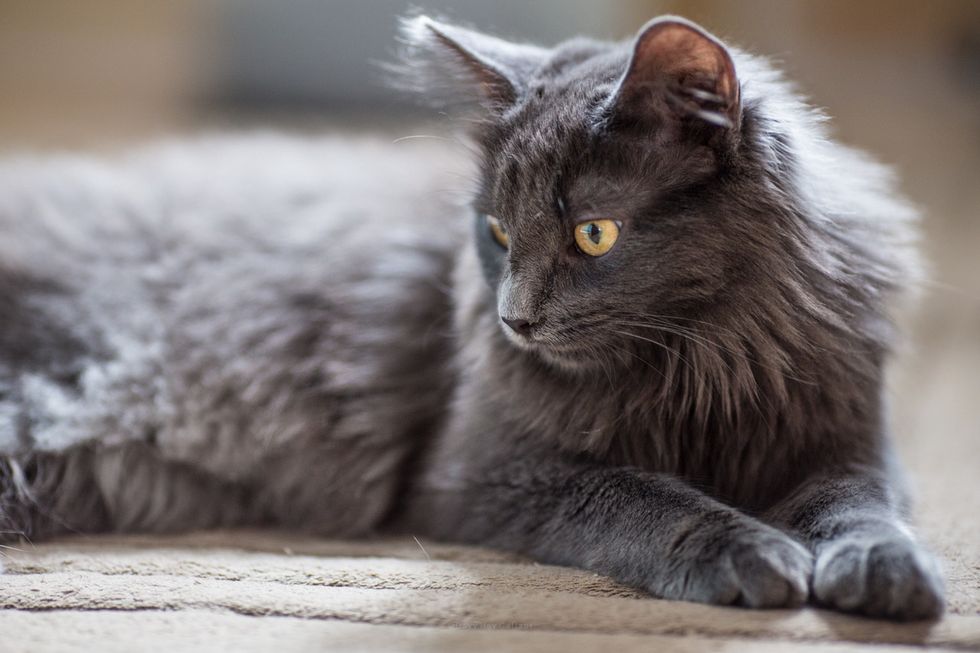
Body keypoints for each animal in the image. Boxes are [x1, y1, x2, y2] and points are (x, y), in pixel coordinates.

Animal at [1, 14, 948, 616]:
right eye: (496, 230)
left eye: (593, 233)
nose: (513, 319)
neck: (700, 359)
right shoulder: (479, 468)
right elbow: (638, 496)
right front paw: (748, 550)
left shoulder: (841, 432)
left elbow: (859, 504)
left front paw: (884, 569)